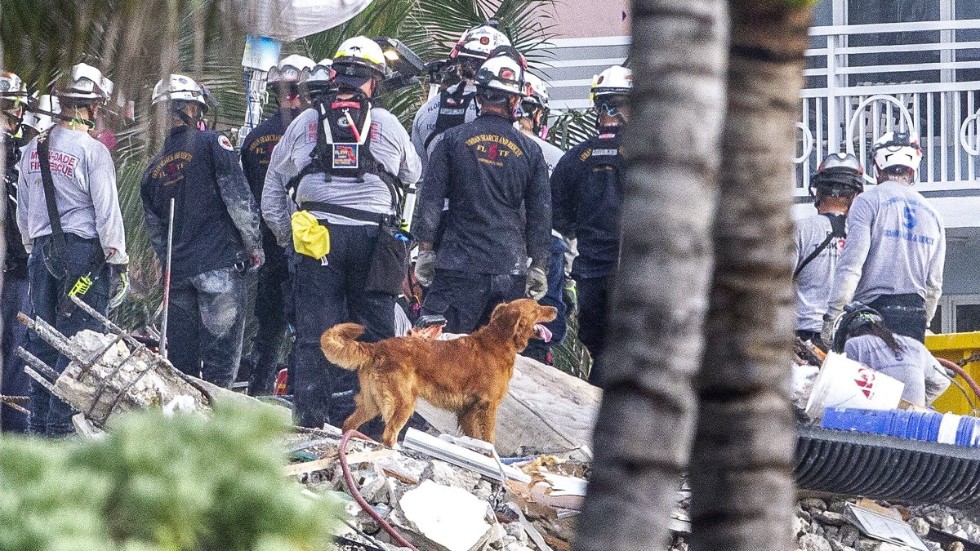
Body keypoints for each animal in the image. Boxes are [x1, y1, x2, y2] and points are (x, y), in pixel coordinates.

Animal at [318, 298, 556, 448]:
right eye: (538, 307)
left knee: (349, 424)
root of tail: (378, 346)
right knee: (388, 434)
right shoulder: (488, 406)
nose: (554, 308)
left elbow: (474, 439)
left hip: (372, 402)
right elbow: (489, 440)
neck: (499, 339)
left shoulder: (468, 410)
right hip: (404, 402)